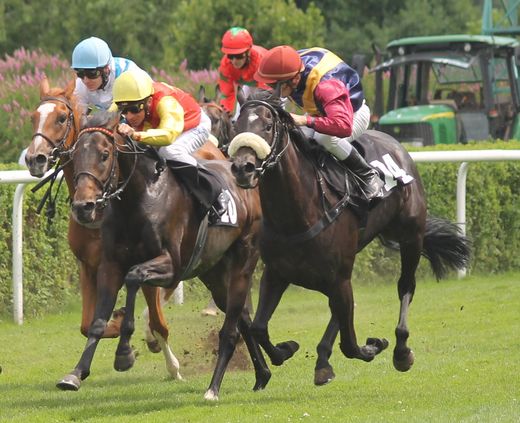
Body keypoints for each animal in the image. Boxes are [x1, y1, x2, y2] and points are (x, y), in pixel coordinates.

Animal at [60, 111, 272, 402]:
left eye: (104, 154)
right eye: (75, 156)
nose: (83, 207)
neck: (138, 199)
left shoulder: (172, 266)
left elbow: (134, 276)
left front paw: (124, 353)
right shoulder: (109, 265)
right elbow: (97, 321)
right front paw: (76, 373)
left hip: (243, 257)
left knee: (235, 318)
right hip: (213, 270)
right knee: (240, 314)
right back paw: (263, 372)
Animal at [229, 92, 472, 388]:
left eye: (267, 127)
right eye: (236, 126)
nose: (243, 168)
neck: (297, 214)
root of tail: (396, 144)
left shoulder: (337, 276)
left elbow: (350, 344)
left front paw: (375, 345)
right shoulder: (277, 273)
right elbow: (259, 328)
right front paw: (287, 349)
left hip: (410, 236)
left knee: (405, 287)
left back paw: (401, 351)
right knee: (340, 310)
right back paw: (323, 360)